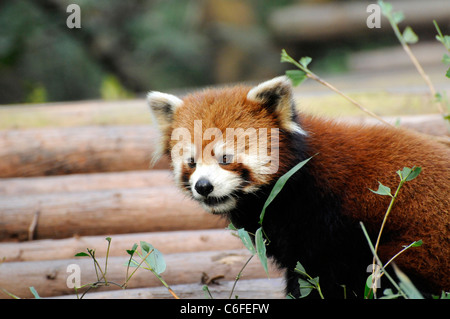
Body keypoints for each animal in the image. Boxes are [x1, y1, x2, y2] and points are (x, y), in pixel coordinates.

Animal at [149, 76, 450, 298]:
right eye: (191, 162)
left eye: (225, 158)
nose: (203, 186)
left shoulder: (325, 220)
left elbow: (320, 274)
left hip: (417, 251)